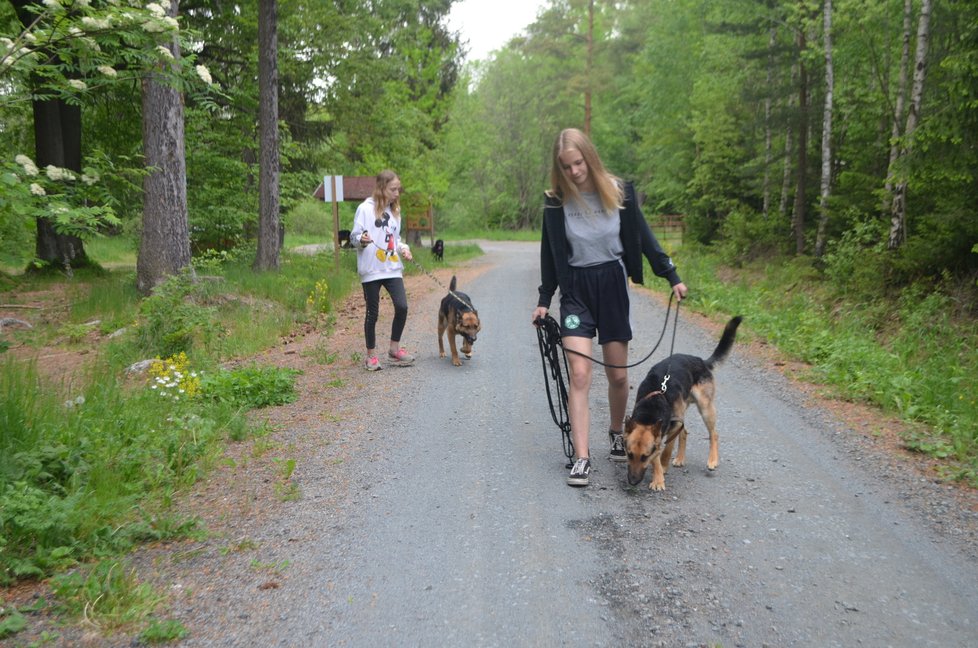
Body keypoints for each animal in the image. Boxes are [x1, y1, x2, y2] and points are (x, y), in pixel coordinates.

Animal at [624, 316, 740, 492]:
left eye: (644, 457)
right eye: (629, 454)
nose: (632, 482)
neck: (654, 404)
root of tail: (700, 361)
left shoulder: (670, 428)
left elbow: (665, 451)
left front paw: (661, 471)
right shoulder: (662, 431)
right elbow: (659, 452)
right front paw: (658, 476)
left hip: (705, 408)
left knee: (714, 434)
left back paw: (712, 460)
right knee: (685, 433)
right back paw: (680, 458)